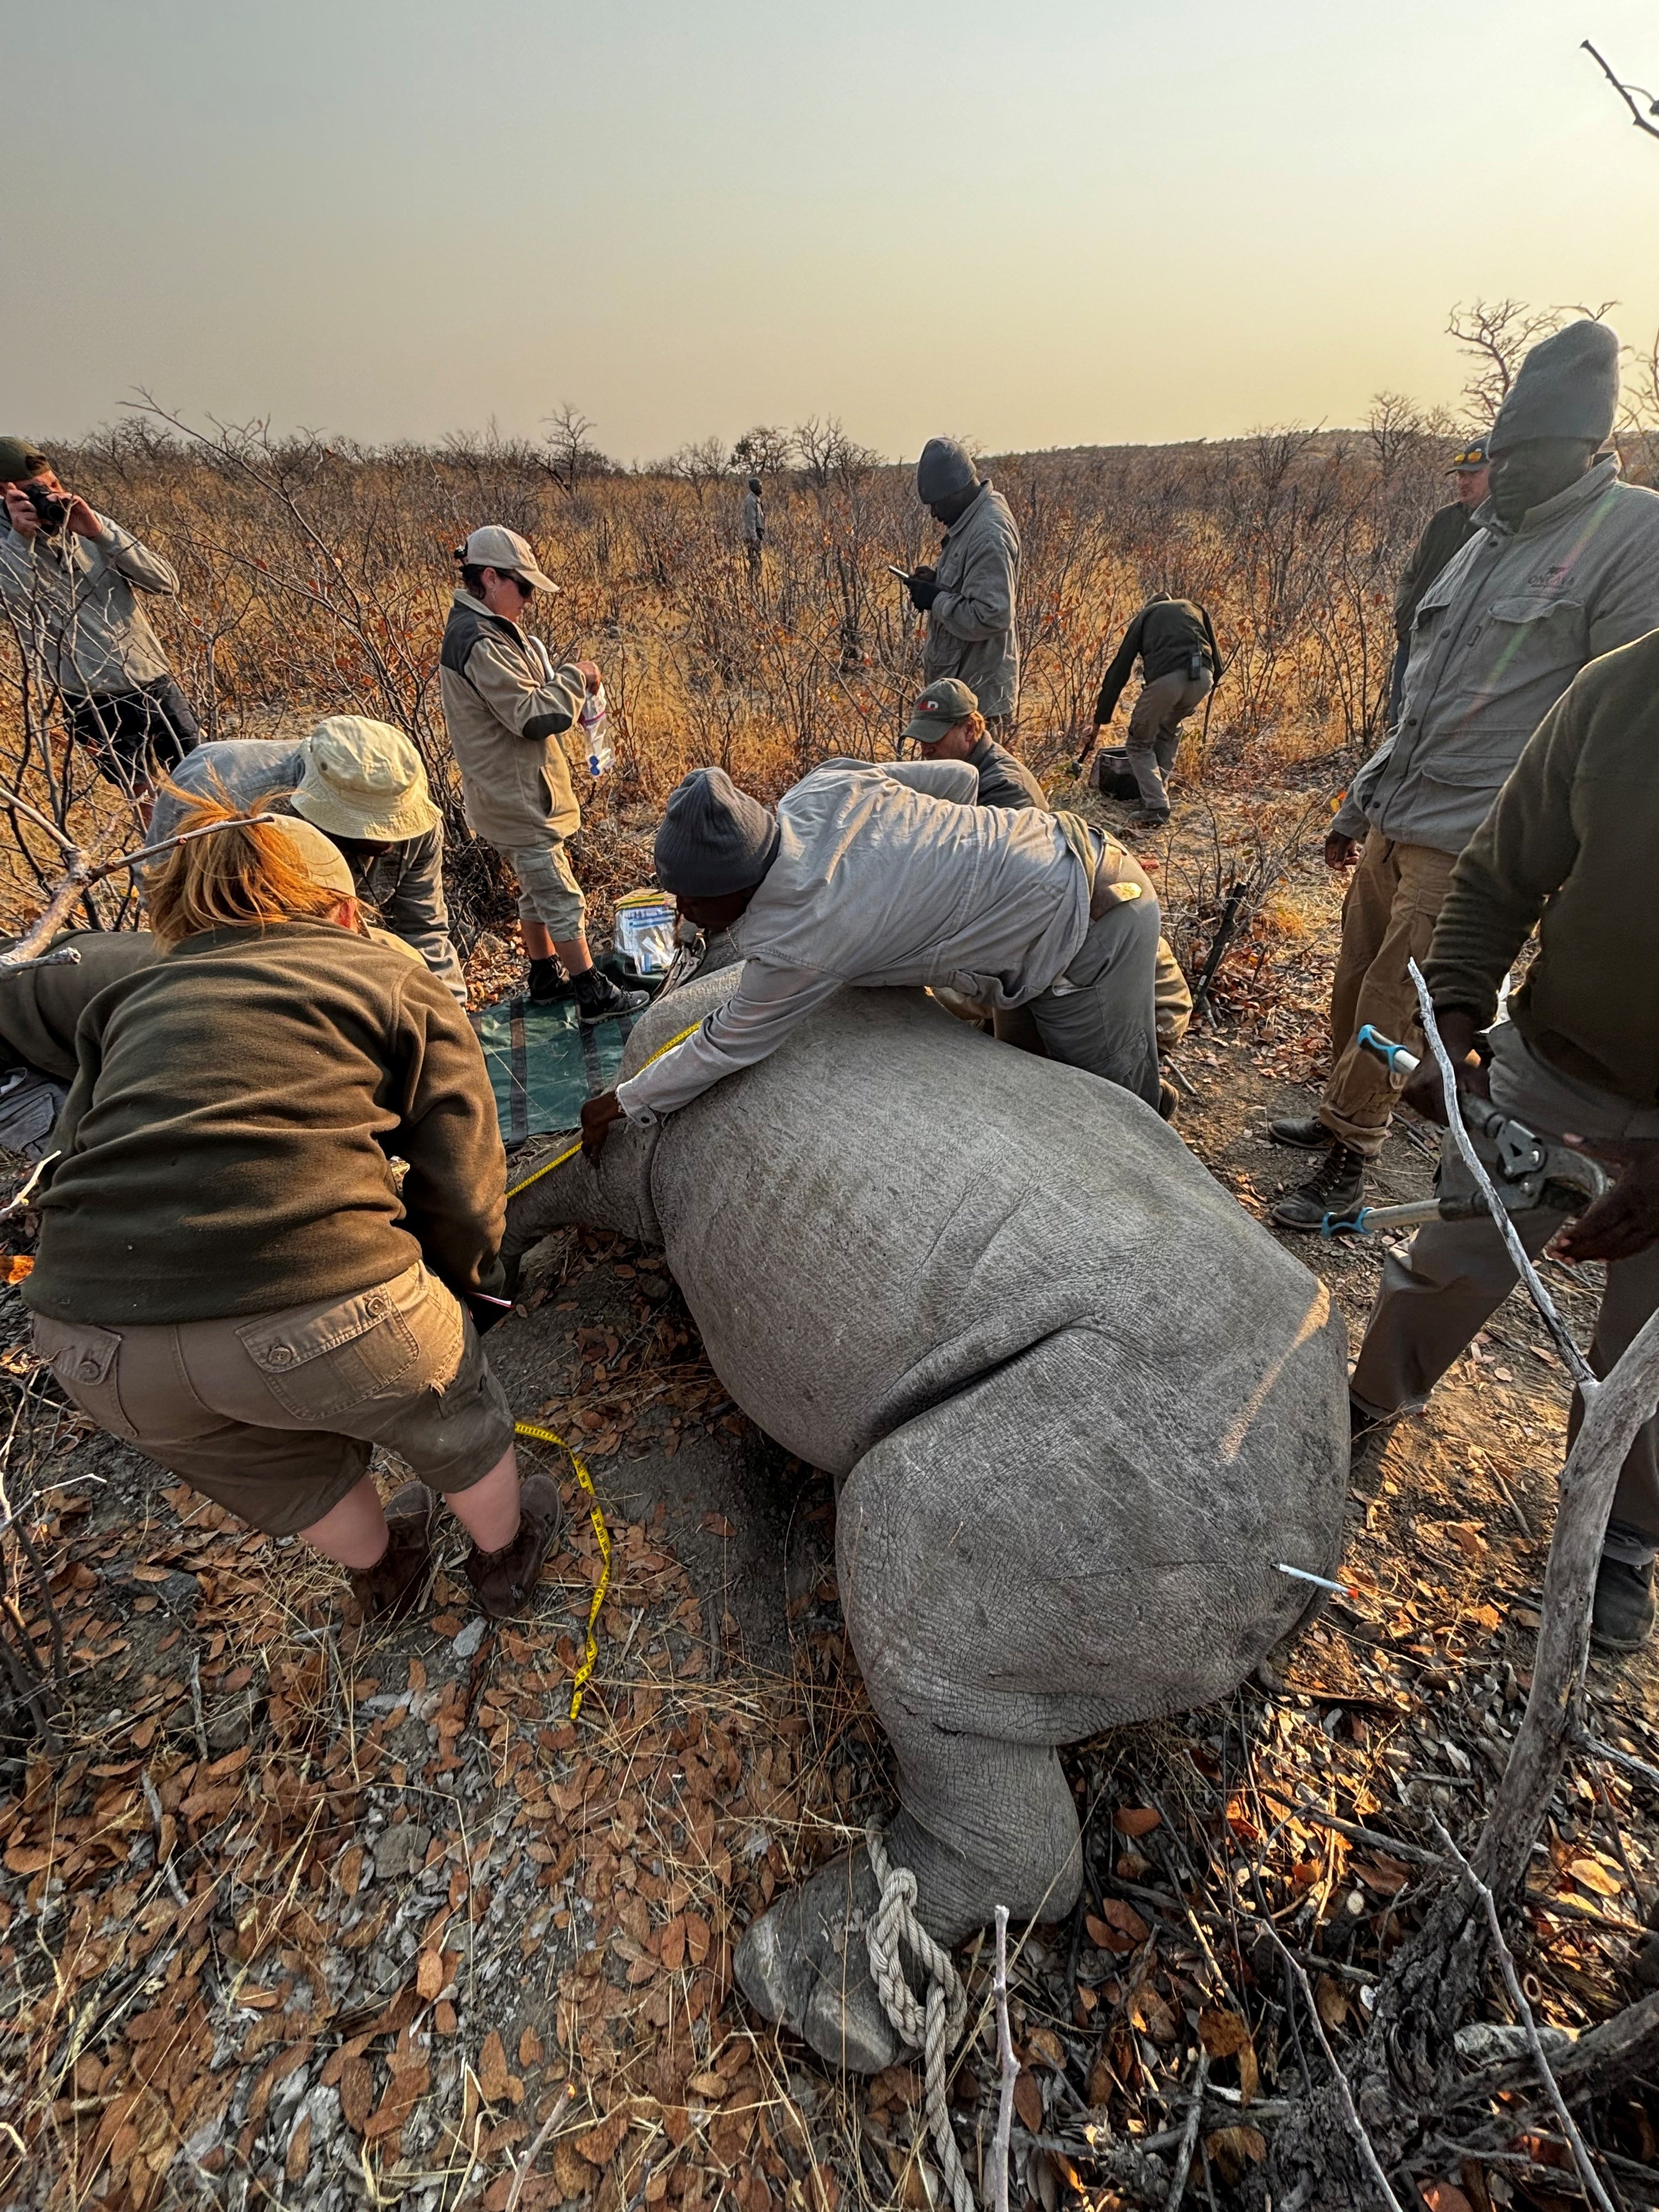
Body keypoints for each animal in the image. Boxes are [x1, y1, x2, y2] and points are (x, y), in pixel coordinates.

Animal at [505, 959, 1348, 2069]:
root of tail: (1311, 1543)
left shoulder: (634, 1148)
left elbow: (556, 1168)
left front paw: (493, 1263)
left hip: (1144, 1465)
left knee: (900, 1542)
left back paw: (800, 1990)